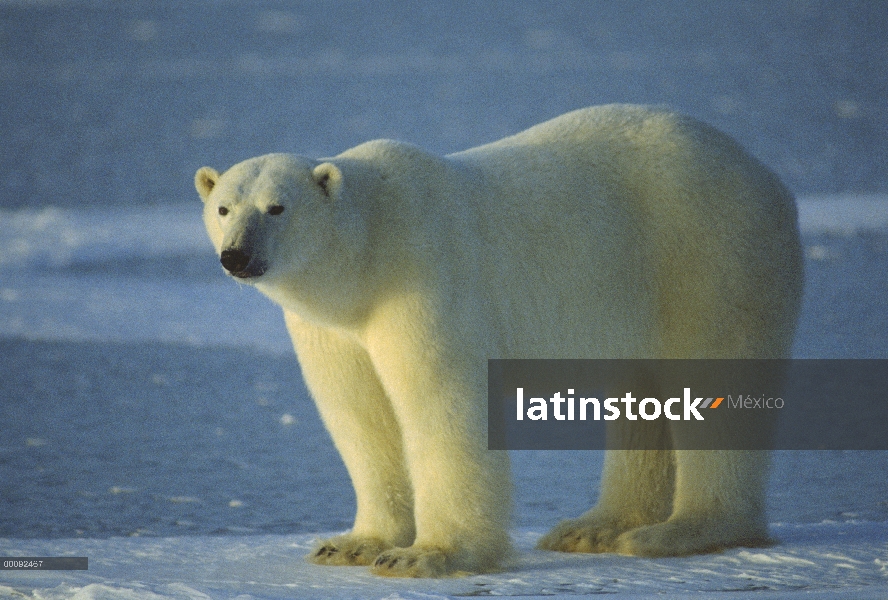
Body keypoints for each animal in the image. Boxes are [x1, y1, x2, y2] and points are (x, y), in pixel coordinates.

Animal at [196, 105, 804, 580]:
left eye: (277, 207)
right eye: (223, 207)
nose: (236, 256)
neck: (371, 252)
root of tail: (766, 174)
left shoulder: (425, 282)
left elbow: (441, 405)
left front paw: (424, 556)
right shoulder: (333, 330)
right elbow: (360, 414)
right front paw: (351, 543)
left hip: (707, 258)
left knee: (713, 380)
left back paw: (682, 530)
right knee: (642, 395)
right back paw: (594, 528)